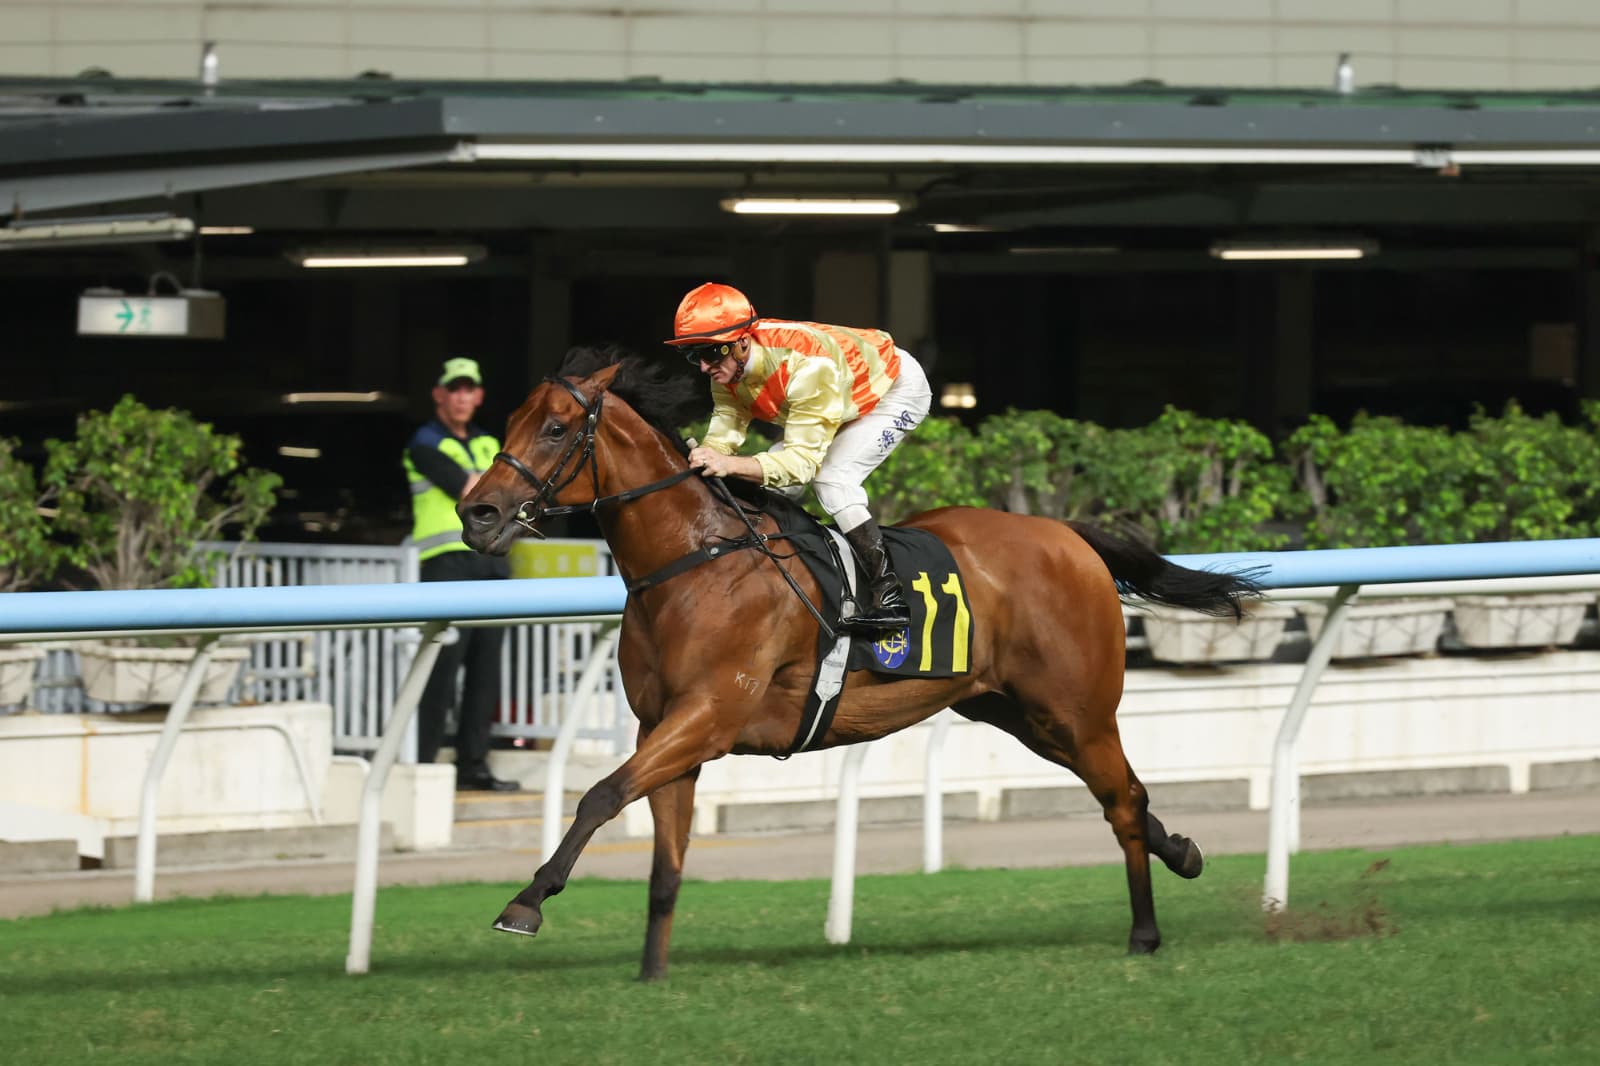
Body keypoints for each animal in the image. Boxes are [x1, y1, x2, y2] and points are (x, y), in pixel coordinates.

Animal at [458, 346, 1257, 981]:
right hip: (1017, 712)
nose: (478, 513)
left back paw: (1145, 933)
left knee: (1121, 799)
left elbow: (599, 795)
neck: (694, 560)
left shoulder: (707, 717)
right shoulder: (664, 730)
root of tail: (1066, 535)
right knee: (1128, 794)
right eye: (511, 421)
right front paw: (652, 975)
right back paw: (1182, 852)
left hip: (1077, 707)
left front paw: (524, 904)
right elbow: (665, 862)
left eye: (556, 428)